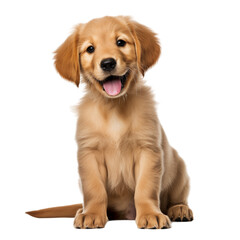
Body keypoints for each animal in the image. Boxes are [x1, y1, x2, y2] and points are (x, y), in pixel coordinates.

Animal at [27, 15, 194, 230]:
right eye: (90, 49)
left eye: (120, 42)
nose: (107, 63)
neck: (114, 107)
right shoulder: (89, 153)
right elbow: (94, 190)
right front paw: (91, 214)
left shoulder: (148, 150)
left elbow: (145, 188)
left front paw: (150, 214)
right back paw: (81, 210)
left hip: (179, 168)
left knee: (177, 197)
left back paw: (179, 209)